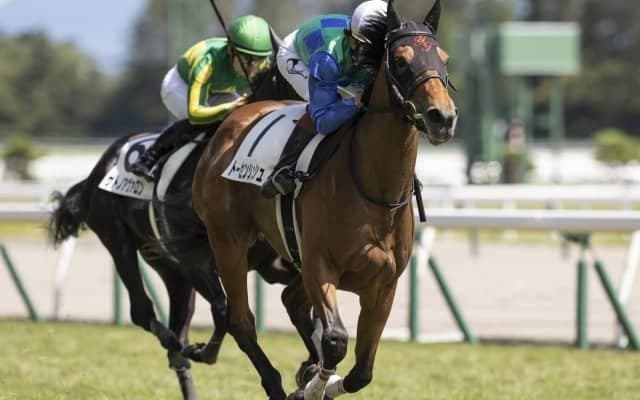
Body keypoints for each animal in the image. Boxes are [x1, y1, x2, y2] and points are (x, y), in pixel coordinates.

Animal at [48, 63, 302, 400]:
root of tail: (99, 167)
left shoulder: (267, 262)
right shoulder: (198, 261)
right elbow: (224, 310)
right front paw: (206, 351)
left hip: (170, 269)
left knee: (177, 323)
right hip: (120, 243)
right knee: (142, 312)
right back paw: (173, 341)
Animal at [191, 0, 458, 398]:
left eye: (443, 58)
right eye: (399, 59)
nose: (442, 117)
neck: (375, 191)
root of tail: (232, 123)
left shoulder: (384, 285)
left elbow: (362, 371)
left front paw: (313, 377)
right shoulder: (320, 266)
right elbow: (334, 339)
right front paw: (312, 385)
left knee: (289, 301)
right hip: (228, 240)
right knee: (241, 320)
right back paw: (274, 382)